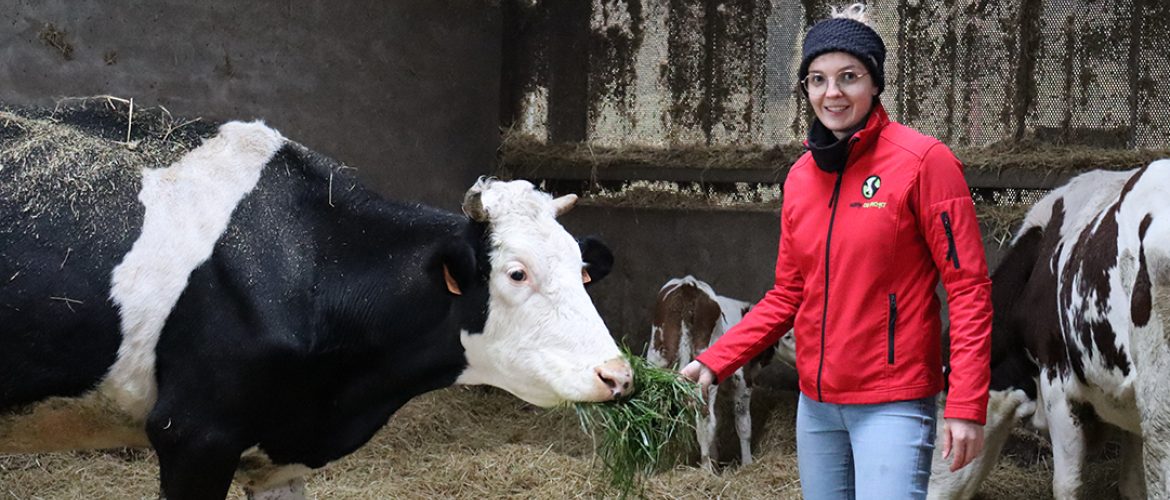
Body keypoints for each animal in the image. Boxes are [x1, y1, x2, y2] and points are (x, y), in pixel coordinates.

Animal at [650, 276, 795, 470]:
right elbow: (743, 425)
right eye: (788, 336)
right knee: (705, 422)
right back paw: (705, 470)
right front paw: (746, 463)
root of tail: (688, 284)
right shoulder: (743, 382)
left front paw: (716, 460)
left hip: (658, 361)